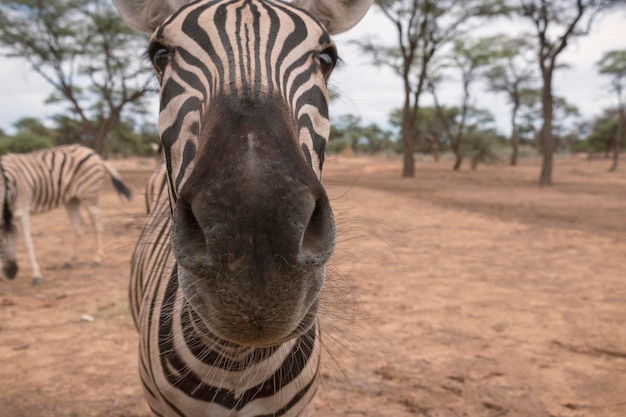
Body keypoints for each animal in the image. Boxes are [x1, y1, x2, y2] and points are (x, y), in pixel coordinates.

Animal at [0, 143, 132, 282]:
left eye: (16, 239)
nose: (11, 273)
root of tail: (95, 154)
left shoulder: (22, 209)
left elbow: (28, 242)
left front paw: (37, 275)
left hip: (90, 195)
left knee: (97, 226)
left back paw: (97, 259)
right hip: (72, 199)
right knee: (78, 229)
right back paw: (69, 261)